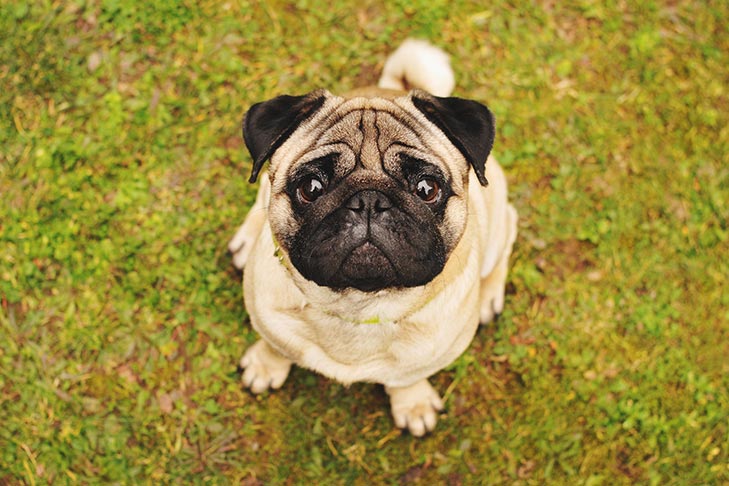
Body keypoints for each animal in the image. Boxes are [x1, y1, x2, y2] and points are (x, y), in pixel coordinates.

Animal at [228, 39, 516, 436]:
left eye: (427, 189)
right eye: (310, 187)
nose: (368, 201)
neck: (360, 304)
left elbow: (406, 378)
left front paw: (412, 403)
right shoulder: (270, 322)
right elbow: (277, 346)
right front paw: (266, 365)